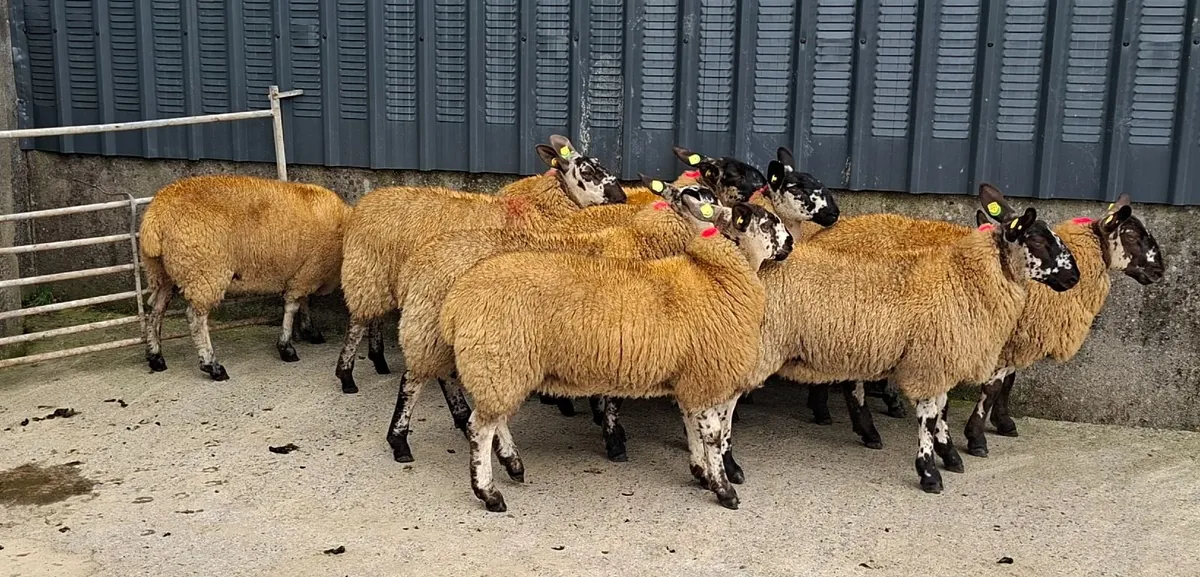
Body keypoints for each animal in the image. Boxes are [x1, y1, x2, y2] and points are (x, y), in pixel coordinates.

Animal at [139, 175, 352, 380]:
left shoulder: (303, 272)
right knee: (195, 317)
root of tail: (155, 216)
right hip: (204, 272)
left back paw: (156, 357)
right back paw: (212, 366)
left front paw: (309, 331)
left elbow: (304, 301)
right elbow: (292, 306)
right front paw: (286, 347)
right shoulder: (308, 271)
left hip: (165, 272)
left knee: (156, 310)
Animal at [334, 135, 625, 394]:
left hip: (379, 275)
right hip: (366, 269)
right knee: (358, 322)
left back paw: (378, 360)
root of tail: (363, 205)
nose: (621, 197)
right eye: (587, 172)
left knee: (373, 317)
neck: (538, 208)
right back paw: (346, 376)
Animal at [383, 177, 723, 464]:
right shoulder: (626, 336)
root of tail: (418, 263)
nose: (726, 218)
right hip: (443, 330)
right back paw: (401, 443)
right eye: (703, 197)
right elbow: (614, 398)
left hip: (446, 333)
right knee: (413, 383)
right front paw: (614, 439)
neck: (641, 241)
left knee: (447, 378)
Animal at [439, 202, 793, 512]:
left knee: (493, 419)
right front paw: (724, 490)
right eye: (767, 223)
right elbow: (713, 436)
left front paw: (701, 473)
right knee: (479, 428)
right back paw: (489, 493)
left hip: (500, 365)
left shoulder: (690, 376)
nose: (790, 242)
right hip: (501, 359)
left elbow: (692, 426)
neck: (715, 274)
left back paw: (513, 464)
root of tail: (456, 301)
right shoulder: (706, 376)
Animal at [742, 179, 1080, 493]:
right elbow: (930, 416)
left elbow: (941, 410)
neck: (964, 277)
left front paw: (949, 454)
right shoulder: (930, 361)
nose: (1074, 276)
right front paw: (930, 471)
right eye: (1037, 240)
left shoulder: (940, 359)